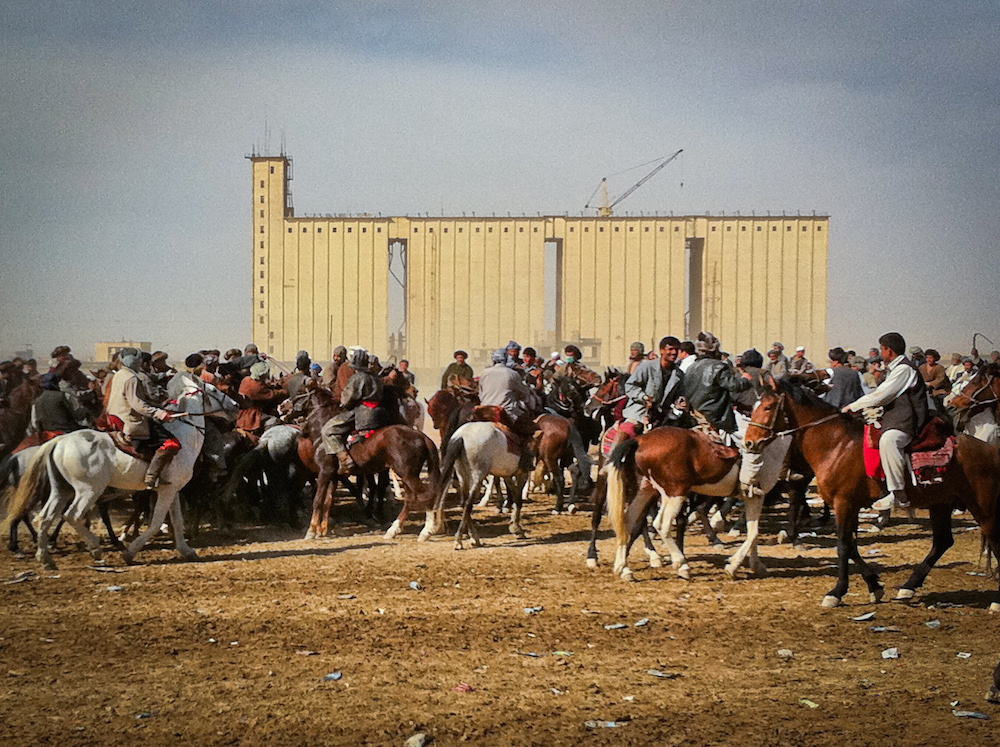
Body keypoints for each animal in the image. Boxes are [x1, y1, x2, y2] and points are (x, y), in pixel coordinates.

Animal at [0, 382, 238, 568]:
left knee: (45, 517)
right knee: (72, 516)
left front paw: (187, 551)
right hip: (88, 491)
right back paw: (95, 548)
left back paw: (45, 558)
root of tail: (58, 441)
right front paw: (130, 552)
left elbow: (177, 521)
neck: (184, 435)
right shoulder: (166, 490)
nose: (235, 405)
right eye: (214, 389)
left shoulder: (172, 489)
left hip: (61, 490)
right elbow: (155, 522)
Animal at [432, 420, 532, 548]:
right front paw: (517, 529)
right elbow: (518, 500)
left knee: (464, 502)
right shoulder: (522, 473)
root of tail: (461, 436)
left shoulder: (507, 475)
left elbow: (514, 495)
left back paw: (474, 537)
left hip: (462, 473)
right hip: (478, 475)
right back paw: (459, 539)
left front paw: (514, 525)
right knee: (468, 503)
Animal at [748, 376, 1000, 612]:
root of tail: (991, 451)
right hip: (941, 504)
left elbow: (843, 545)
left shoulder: (843, 503)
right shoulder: (851, 506)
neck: (837, 445)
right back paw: (908, 587)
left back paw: (995, 602)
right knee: (942, 542)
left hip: (984, 509)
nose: (750, 442)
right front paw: (874, 586)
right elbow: (851, 545)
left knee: (993, 541)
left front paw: (836, 592)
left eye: (768, 407)